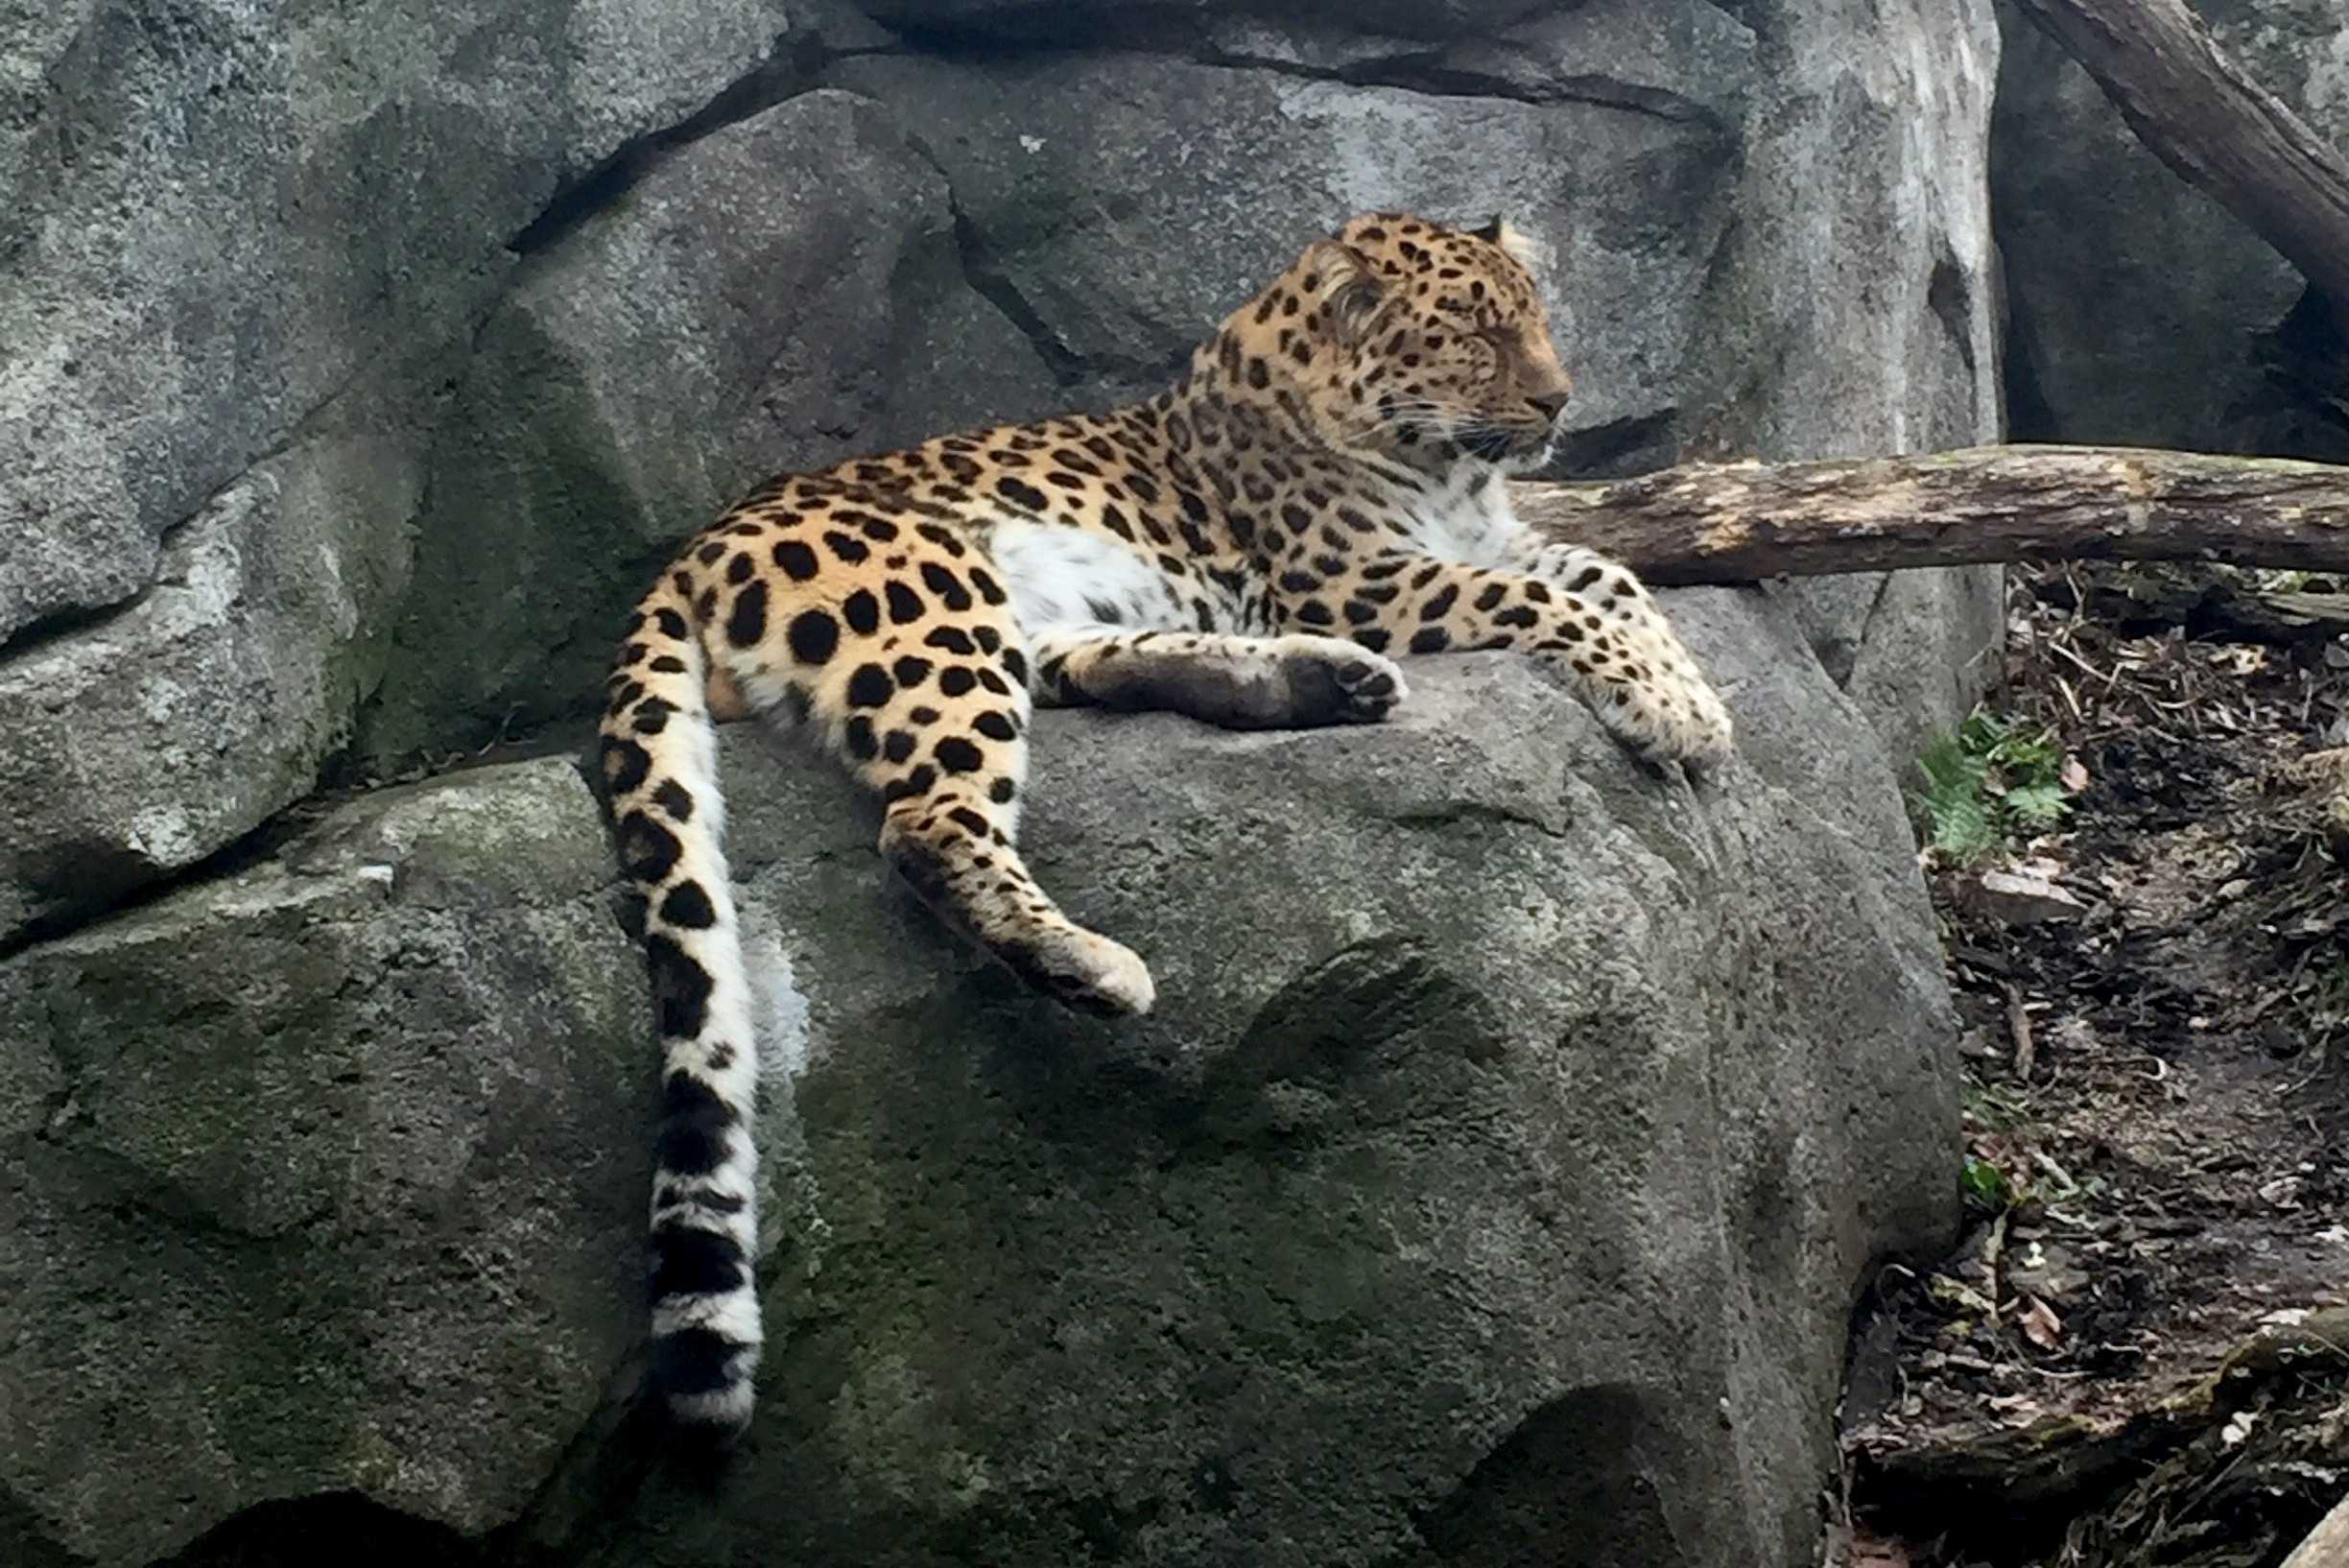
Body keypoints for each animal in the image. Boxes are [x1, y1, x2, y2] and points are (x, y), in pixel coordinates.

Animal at [596, 207, 1738, 1438]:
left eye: (1534, 320)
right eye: (1473, 335)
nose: (1557, 402)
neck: (1447, 473)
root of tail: (691, 551)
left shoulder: (1492, 542)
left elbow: (1610, 573)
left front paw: (1688, 695)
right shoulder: (1364, 578)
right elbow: (1558, 600)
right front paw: (1668, 701)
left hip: (1022, 623)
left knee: (1091, 670)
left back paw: (1319, 684)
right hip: (934, 601)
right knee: (928, 822)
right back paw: (1092, 963)